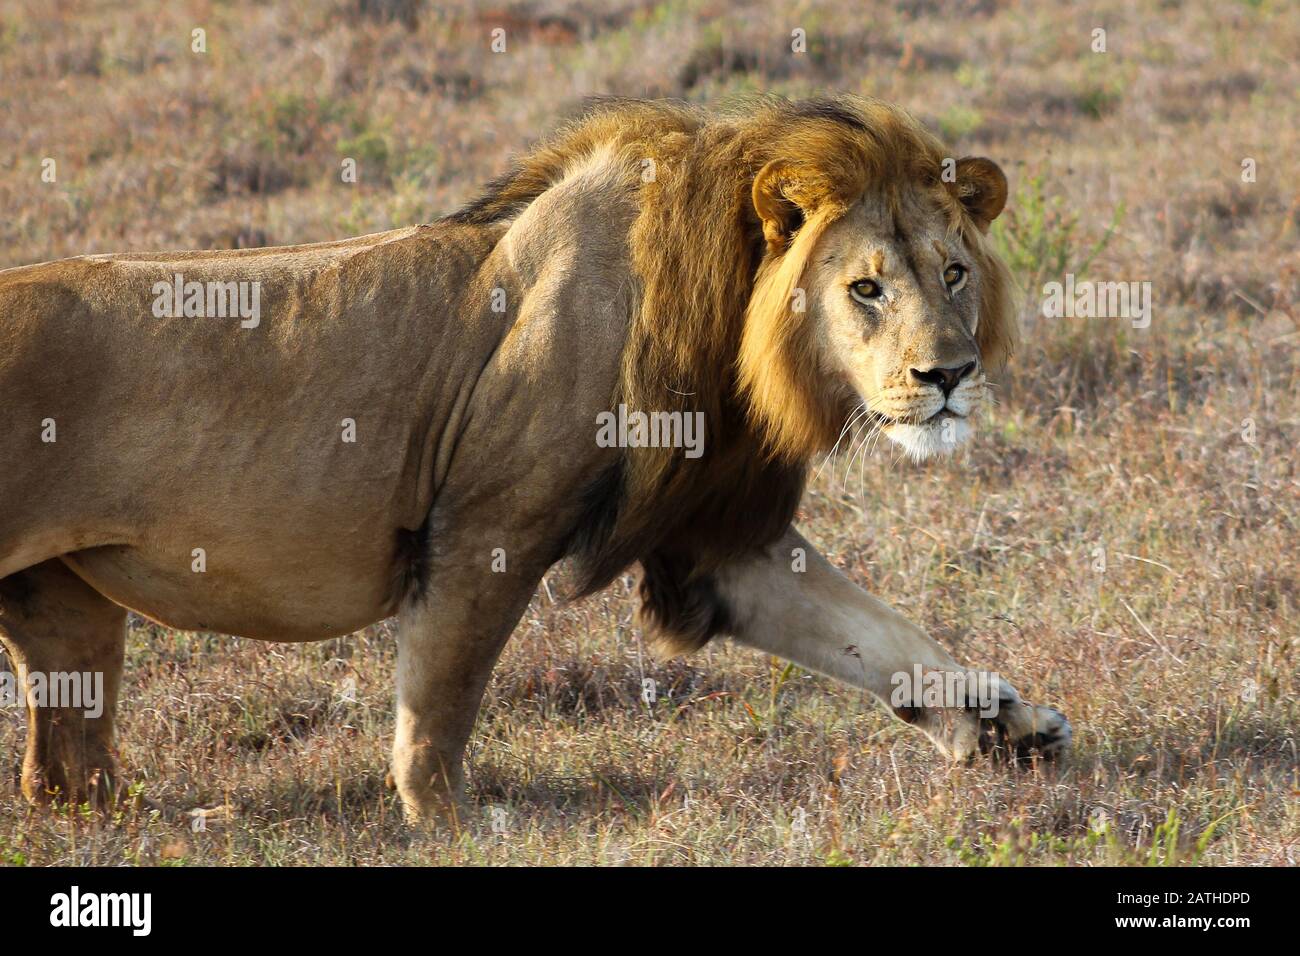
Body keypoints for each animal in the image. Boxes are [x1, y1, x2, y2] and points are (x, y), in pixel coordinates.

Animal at [0, 95, 1069, 822]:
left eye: (955, 273)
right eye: (865, 289)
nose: (949, 375)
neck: (735, 325)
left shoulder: (719, 540)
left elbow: (883, 635)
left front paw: (1001, 725)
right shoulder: (484, 526)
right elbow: (439, 702)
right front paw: (456, 825)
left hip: (68, 614)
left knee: (64, 775)